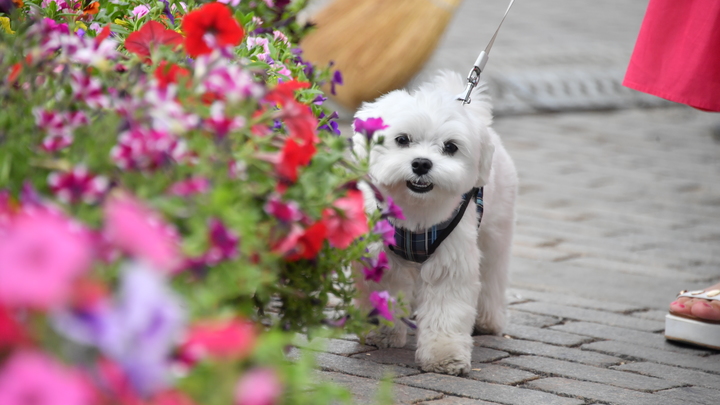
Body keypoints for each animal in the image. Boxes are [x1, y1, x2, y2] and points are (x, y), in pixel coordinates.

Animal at [350, 70, 516, 376]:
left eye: (450, 147)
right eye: (402, 139)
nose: (421, 163)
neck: (416, 212)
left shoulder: (450, 263)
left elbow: (446, 311)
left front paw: (444, 355)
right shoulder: (382, 258)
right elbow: (385, 293)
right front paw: (382, 333)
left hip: (496, 231)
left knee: (492, 275)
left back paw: (488, 320)